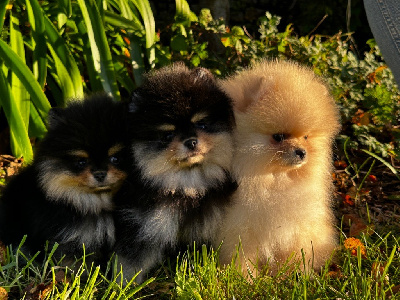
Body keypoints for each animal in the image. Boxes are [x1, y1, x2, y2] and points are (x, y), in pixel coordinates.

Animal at [114, 62, 236, 282]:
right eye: (168, 135)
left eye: (201, 124)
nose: (191, 141)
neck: (187, 186)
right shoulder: (145, 226)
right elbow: (130, 263)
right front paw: (122, 285)